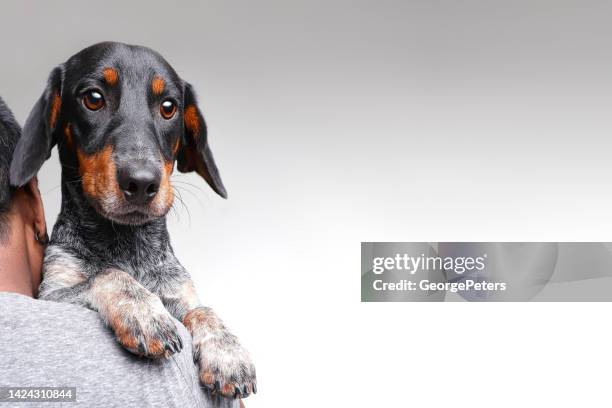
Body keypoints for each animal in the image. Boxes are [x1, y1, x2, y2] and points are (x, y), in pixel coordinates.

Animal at [10, 41, 256, 398]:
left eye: (168, 107)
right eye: (93, 98)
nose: (141, 182)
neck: (127, 246)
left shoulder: (180, 291)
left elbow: (202, 309)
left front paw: (227, 352)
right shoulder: (53, 293)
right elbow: (108, 275)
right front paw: (144, 314)